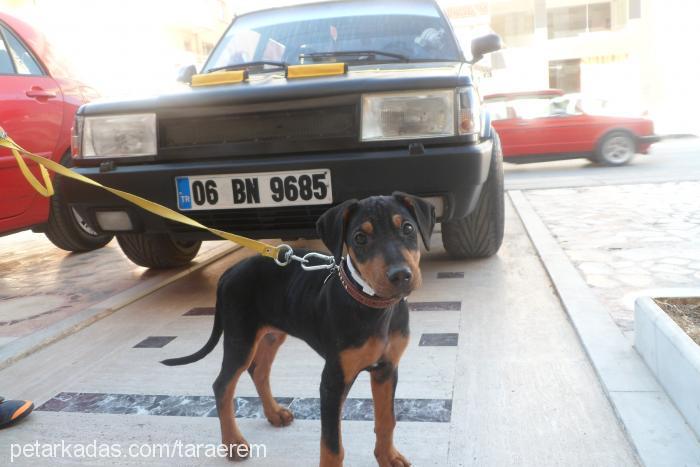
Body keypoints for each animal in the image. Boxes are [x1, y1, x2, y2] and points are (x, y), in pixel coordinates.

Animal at [163, 192, 434, 466]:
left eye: (408, 228)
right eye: (360, 238)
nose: (400, 275)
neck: (374, 306)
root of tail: (229, 272)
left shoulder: (386, 369)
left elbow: (387, 420)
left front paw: (388, 457)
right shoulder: (333, 381)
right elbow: (332, 446)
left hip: (272, 335)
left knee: (258, 371)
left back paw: (274, 414)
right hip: (241, 339)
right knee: (222, 386)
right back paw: (233, 443)